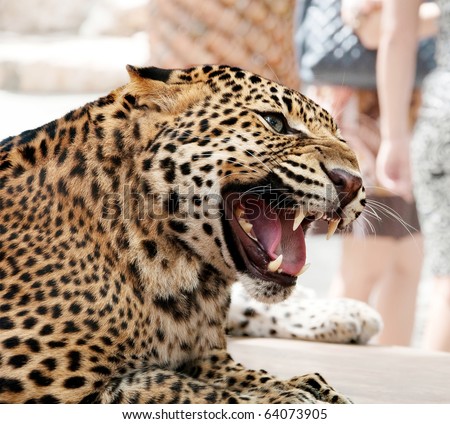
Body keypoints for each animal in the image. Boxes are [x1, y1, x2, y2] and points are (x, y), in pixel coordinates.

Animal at [0, 63, 366, 404]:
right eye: (274, 123)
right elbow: (181, 389)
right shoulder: (46, 375)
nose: (352, 183)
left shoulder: (209, 357)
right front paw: (294, 395)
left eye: (341, 137)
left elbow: (239, 378)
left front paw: (311, 389)